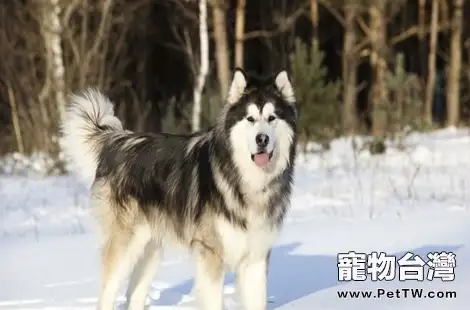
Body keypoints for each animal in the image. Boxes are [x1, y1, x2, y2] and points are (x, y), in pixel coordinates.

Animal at [60, 68, 298, 310]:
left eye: (272, 118)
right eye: (250, 119)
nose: (262, 139)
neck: (247, 179)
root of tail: (118, 141)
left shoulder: (256, 259)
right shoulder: (210, 253)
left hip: (151, 249)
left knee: (134, 294)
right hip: (125, 246)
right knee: (107, 293)